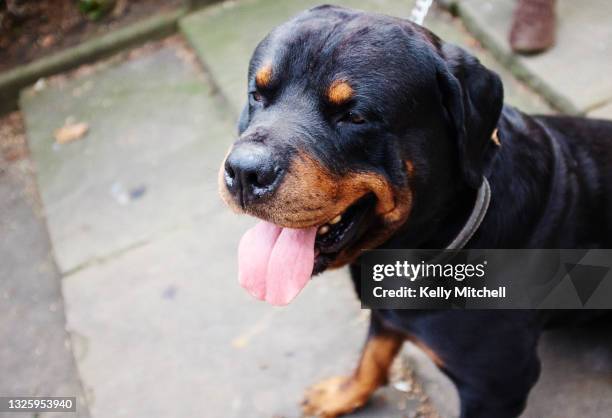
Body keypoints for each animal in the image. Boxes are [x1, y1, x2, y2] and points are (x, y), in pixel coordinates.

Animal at [219, 4, 612, 418]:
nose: (244, 171)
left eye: (355, 116)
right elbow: (372, 355)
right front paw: (342, 394)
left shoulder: (496, 386)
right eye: (257, 95)